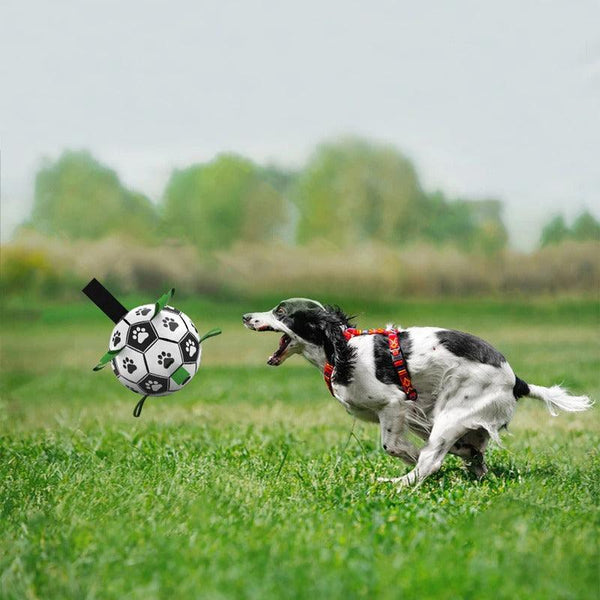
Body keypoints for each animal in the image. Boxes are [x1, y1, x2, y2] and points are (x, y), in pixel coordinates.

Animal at [243, 300, 592, 488]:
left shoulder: (395, 403)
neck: (341, 350)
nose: (246, 316)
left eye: (282, 312)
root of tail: (516, 380)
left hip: (451, 415)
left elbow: (394, 446)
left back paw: (395, 484)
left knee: (430, 463)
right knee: (474, 458)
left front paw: (409, 456)